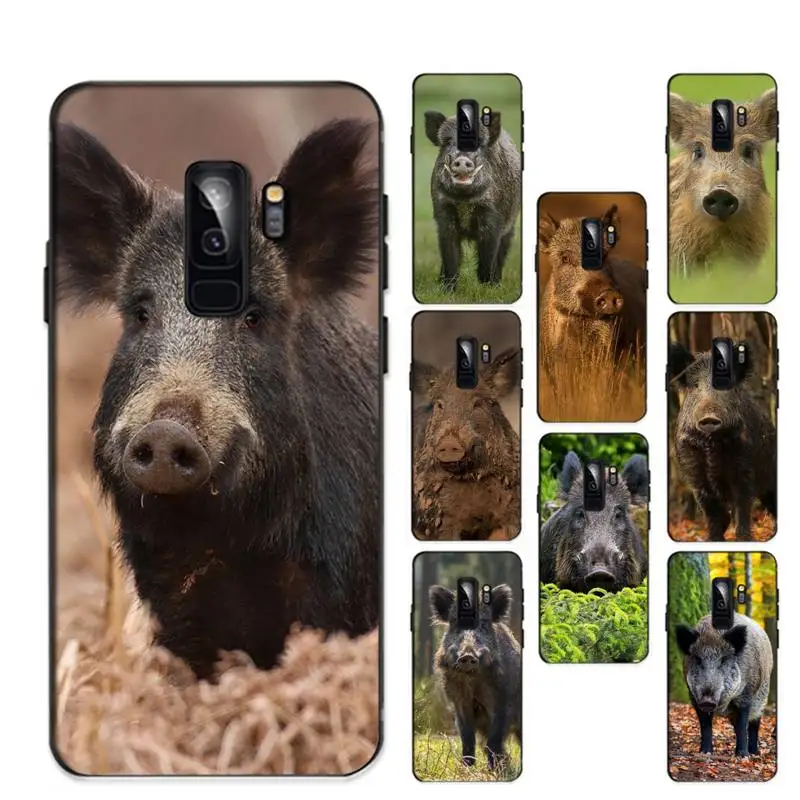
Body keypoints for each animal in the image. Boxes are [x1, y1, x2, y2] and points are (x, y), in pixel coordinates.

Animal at [424, 110, 521, 288]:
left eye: (478, 143)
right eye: (448, 141)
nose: (462, 160)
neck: (464, 199)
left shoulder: (493, 218)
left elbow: (488, 257)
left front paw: (487, 288)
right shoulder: (443, 215)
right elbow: (450, 256)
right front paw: (447, 289)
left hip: (510, 226)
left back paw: (498, 283)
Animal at [430, 583, 521, 769]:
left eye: (484, 624)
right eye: (455, 623)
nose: (467, 655)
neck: (473, 682)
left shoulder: (503, 701)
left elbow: (494, 740)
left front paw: (494, 770)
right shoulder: (459, 703)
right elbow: (467, 740)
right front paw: (467, 768)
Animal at [668, 341, 776, 541]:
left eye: (725, 385)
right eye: (695, 385)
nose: (709, 417)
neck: (712, 445)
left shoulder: (744, 468)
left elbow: (742, 507)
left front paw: (743, 539)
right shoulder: (695, 474)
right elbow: (714, 514)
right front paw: (713, 540)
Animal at [676, 613, 773, 757]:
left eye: (723, 660)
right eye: (698, 659)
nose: (707, 700)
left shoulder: (746, 696)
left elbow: (743, 724)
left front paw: (743, 756)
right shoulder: (694, 698)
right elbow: (705, 726)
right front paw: (705, 752)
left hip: (762, 697)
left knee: (754, 722)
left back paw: (754, 753)